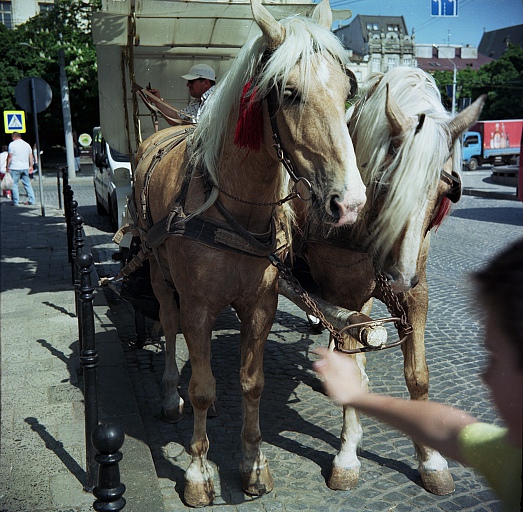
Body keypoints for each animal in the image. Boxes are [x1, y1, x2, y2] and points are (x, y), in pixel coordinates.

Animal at [130, 0, 366, 504]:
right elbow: (199, 384)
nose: (351, 203)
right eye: (290, 93)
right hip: (158, 270)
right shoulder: (198, 304)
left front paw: (253, 463)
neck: (232, 205)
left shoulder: (261, 305)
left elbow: (252, 384)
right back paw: (170, 396)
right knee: (170, 325)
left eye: (347, 90)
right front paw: (198, 472)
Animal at [298, 67, 488, 496]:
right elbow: (353, 360)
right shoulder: (347, 296)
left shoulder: (418, 295)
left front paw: (431, 460)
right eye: (385, 184)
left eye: (444, 191)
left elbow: (418, 377)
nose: (398, 279)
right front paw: (347, 456)